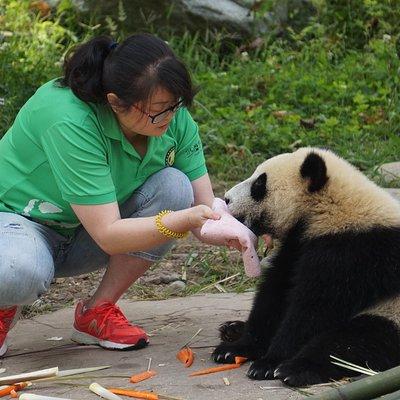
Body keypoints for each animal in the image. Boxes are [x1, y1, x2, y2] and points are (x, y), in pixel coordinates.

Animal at [214, 148, 400, 388]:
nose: (226, 198)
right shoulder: (299, 244)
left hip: (390, 314)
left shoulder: (355, 251)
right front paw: (235, 349)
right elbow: (275, 294)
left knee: (353, 342)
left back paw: (296, 369)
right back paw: (231, 329)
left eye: (259, 185)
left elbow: (314, 309)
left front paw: (269, 363)